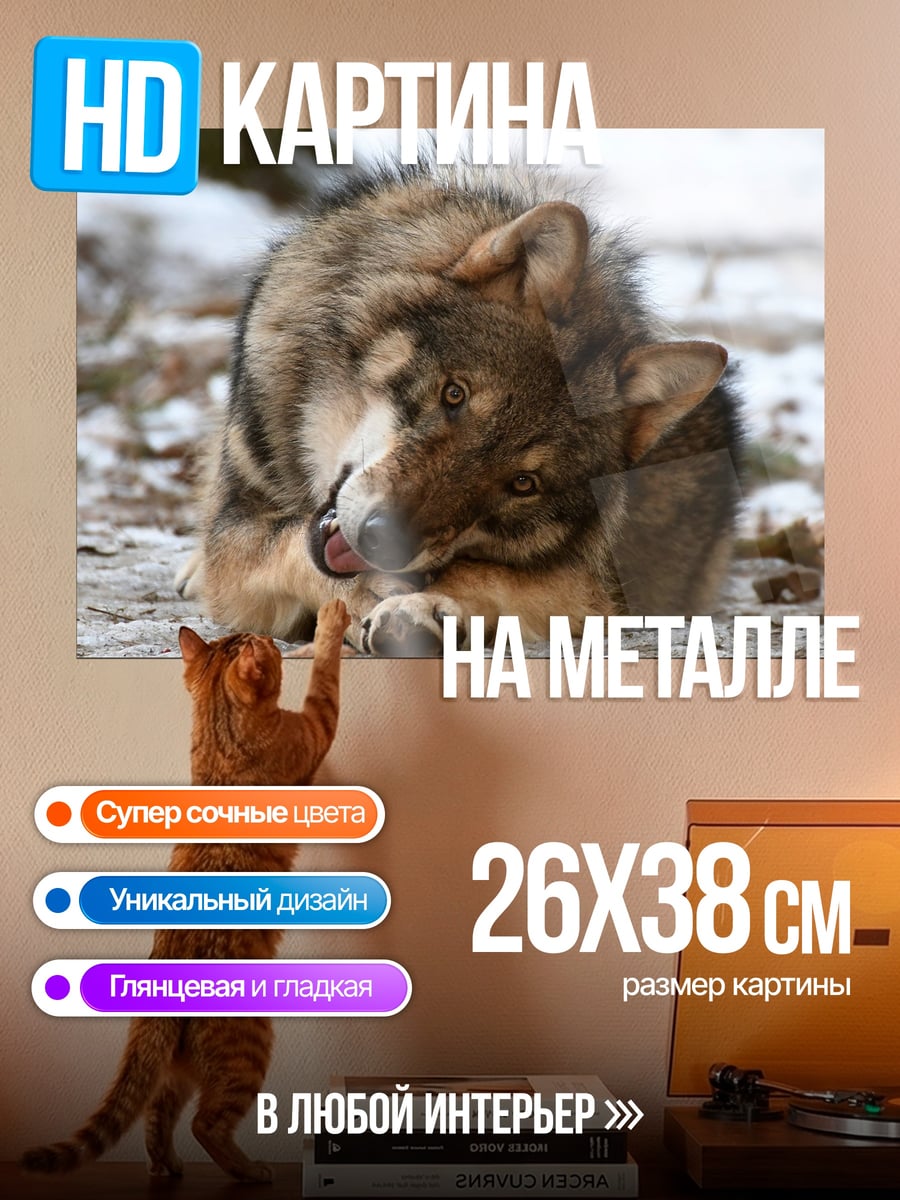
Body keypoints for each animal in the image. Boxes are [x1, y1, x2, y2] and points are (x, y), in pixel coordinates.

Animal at [177, 165, 743, 655]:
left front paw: (421, 606)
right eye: (454, 395)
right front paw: (366, 595)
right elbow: (286, 546)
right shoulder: (236, 538)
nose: (383, 541)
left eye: (523, 484)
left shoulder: (598, 590)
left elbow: (488, 575)